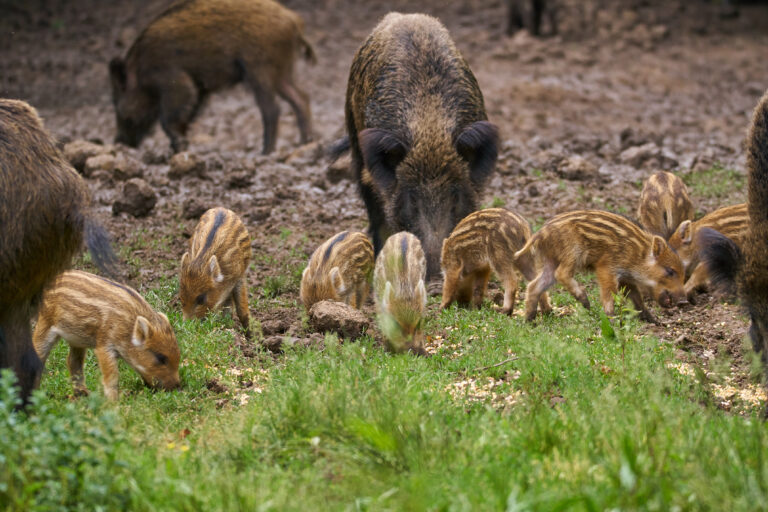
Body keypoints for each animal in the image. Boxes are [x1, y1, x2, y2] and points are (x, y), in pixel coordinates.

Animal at [33, 270, 181, 400]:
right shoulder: (104, 345)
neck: (128, 327)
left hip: (77, 340)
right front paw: (113, 402)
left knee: (72, 361)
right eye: (161, 358)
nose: (177, 388)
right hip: (45, 324)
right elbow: (112, 375)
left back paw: (83, 394)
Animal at [109, 0, 315, 154]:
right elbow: (190, 113)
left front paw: (178, 148)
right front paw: (180, 149)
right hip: (281, 71)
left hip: (260, 68)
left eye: (118, 102)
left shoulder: (174, 80)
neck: (141, 70)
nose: (119, 142)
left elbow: (170, 116)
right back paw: (305, 143)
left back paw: (265, 152)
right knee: (301, 98)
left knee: (272, 109)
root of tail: (294, 21)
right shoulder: (201, 88)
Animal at [180, 207, 252, 337]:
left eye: (201, 299)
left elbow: (242, 310)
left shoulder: (239, 277)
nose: (186, 326)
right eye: (180, 297)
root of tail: (222, 208)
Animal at [515, 210, 686, 323]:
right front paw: (611, 319)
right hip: (572, 252)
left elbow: (637, 298)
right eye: (670, 271)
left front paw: (654, 321)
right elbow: (609, 293)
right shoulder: (606, 268)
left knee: (534, 285)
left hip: (550, 261)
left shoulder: (626, 279)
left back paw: (529, 320)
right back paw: (585, 302)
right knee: (561, 273)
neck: (639, 255)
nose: (683, 301)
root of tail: (540, 233)